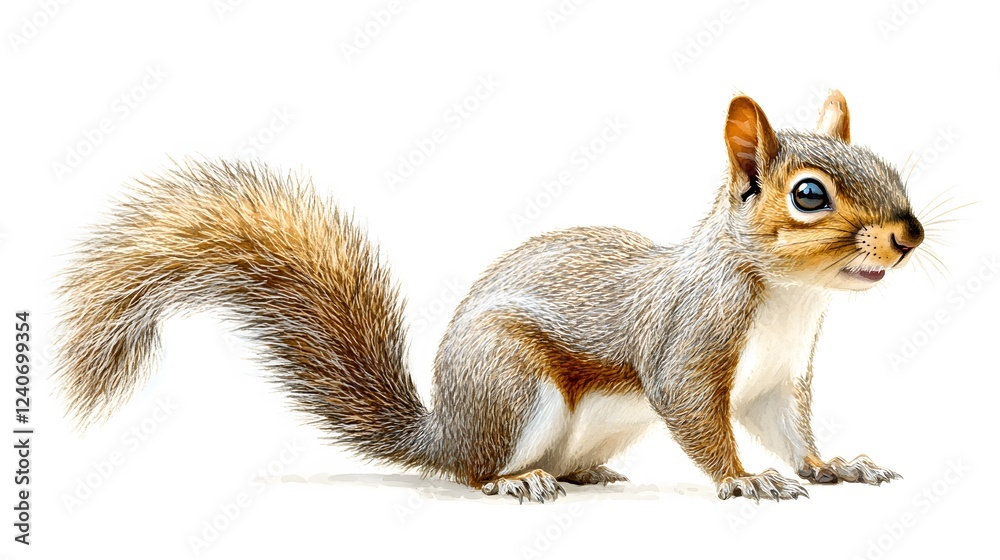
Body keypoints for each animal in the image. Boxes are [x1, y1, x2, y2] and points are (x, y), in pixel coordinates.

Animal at [56, 90, 923, 503]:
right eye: (808, 196)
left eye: (888, 166)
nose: (909, 234)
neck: (789, 302)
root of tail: (444, 433)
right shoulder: (690, 342)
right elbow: (698, 416)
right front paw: (744, 479)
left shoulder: (779, 379)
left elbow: (792, 433)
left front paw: (836, 464)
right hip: (510, 383)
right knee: (474, 475)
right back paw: (515, 481)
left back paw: (582, 475)